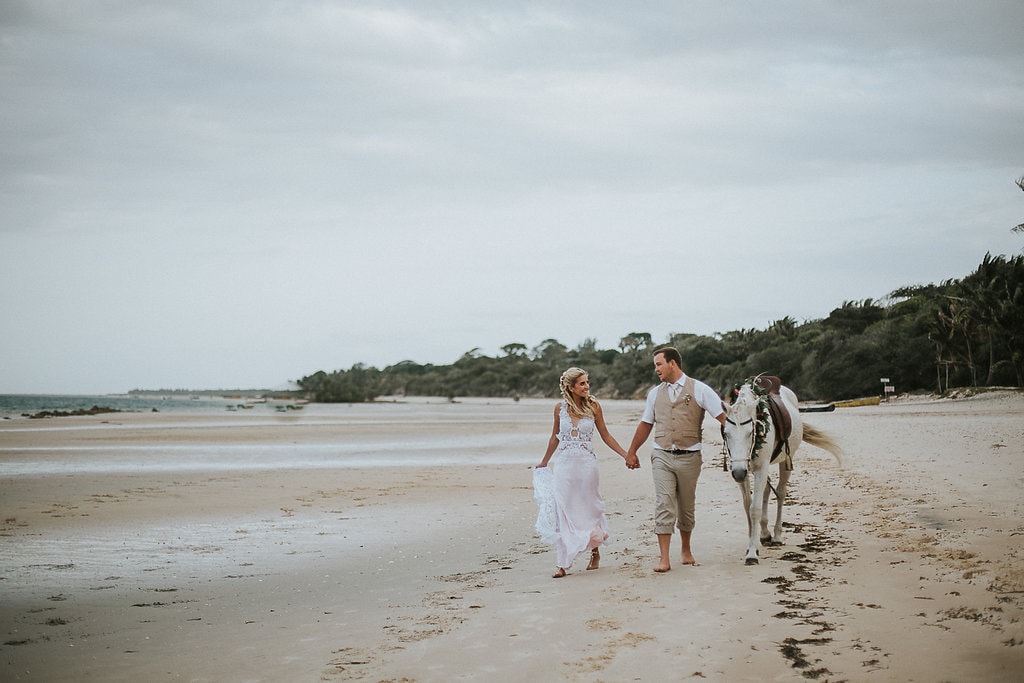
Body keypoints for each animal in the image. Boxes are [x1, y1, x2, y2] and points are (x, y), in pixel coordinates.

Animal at [720, 378, 839, 565]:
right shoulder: (744, 471)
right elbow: (748, 506)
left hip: (786, 461)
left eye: (750, 432)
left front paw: (752, 553)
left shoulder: (760, 468)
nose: (738, 473)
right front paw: (752, 542)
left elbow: (754, 509)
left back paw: (776, 535)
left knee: (781, 493)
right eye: (726, 433)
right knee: (767, 491)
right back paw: (764, 533)